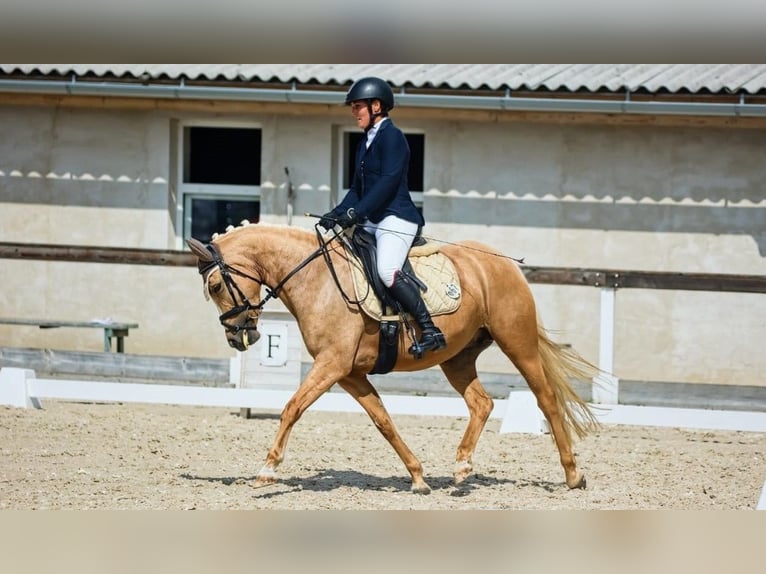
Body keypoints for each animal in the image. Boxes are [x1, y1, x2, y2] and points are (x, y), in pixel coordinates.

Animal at [189, 224, 604, 496]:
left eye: (215, 286)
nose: (238, 336)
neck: (316, 279)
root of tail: (504, 263)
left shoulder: (331, 365)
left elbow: (292, 408)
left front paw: (267, 469)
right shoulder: (349, 373)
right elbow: (383, 421)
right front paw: (418, 478)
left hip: (517, 341)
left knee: (546, 399)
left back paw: (573, 476)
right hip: (457, 357)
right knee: (481, 403)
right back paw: (461, 468)